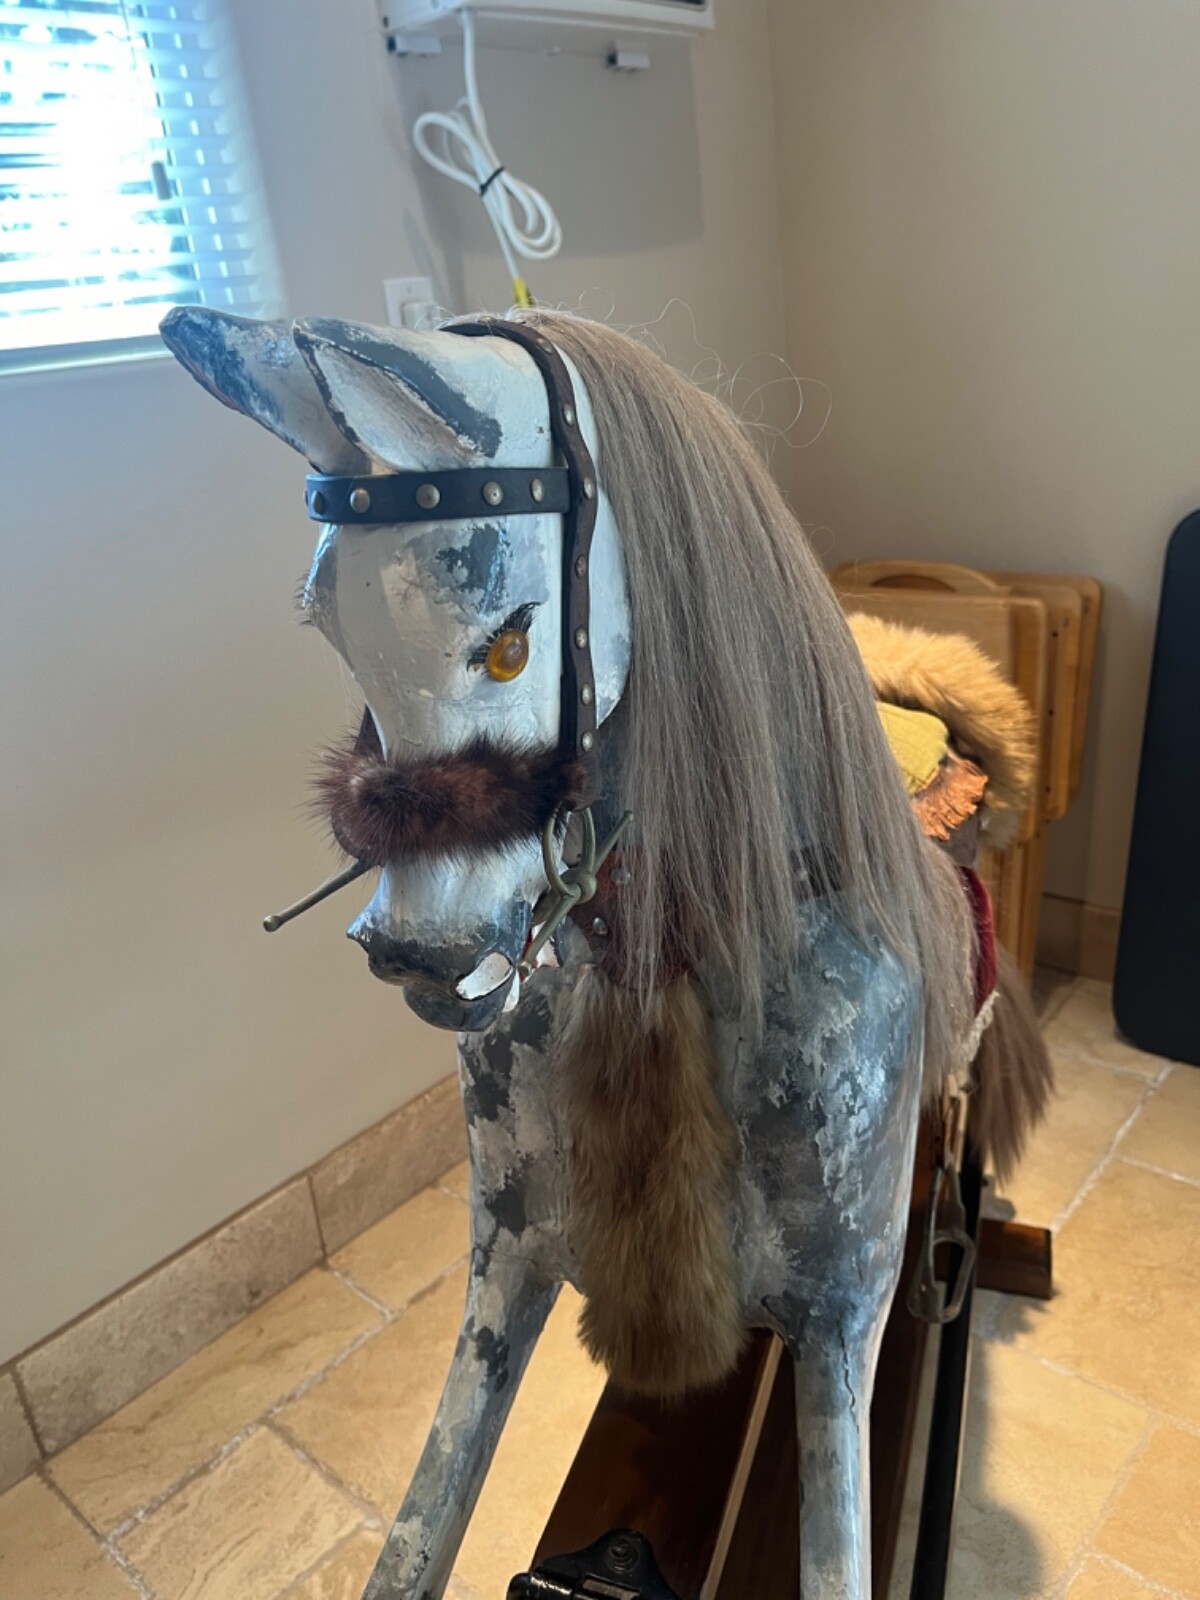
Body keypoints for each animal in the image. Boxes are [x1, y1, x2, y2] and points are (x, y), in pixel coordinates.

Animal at [160, 305, 1051, 1600]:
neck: (686, 959)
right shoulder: (507, 1267)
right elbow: (417, 1532)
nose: (415, 949)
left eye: (509, 643)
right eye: (328, 624)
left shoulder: (842, 1322)